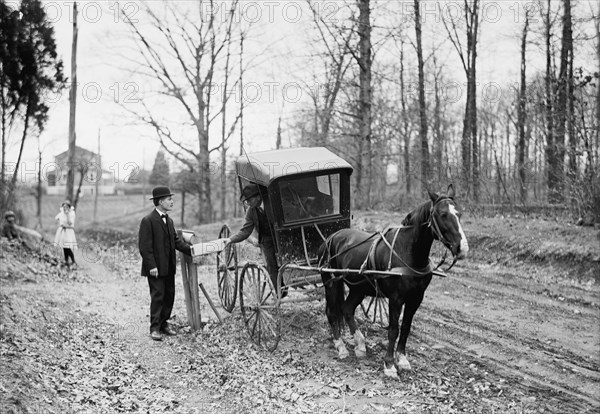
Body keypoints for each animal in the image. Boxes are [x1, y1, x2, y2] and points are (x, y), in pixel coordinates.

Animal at [318, 186, 468, 376]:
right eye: (443, 214)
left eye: (459, 213)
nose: (462, 248)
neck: (408, 252)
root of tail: (331, 238)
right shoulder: (396, 299)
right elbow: (393, 330)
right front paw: (389, 364)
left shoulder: (416, 298)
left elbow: (405, 328)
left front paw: (402, 359)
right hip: (331, 282)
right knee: (332, 312)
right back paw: (341, 348)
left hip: (358, 288)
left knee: (347, 309)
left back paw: (360, 345)